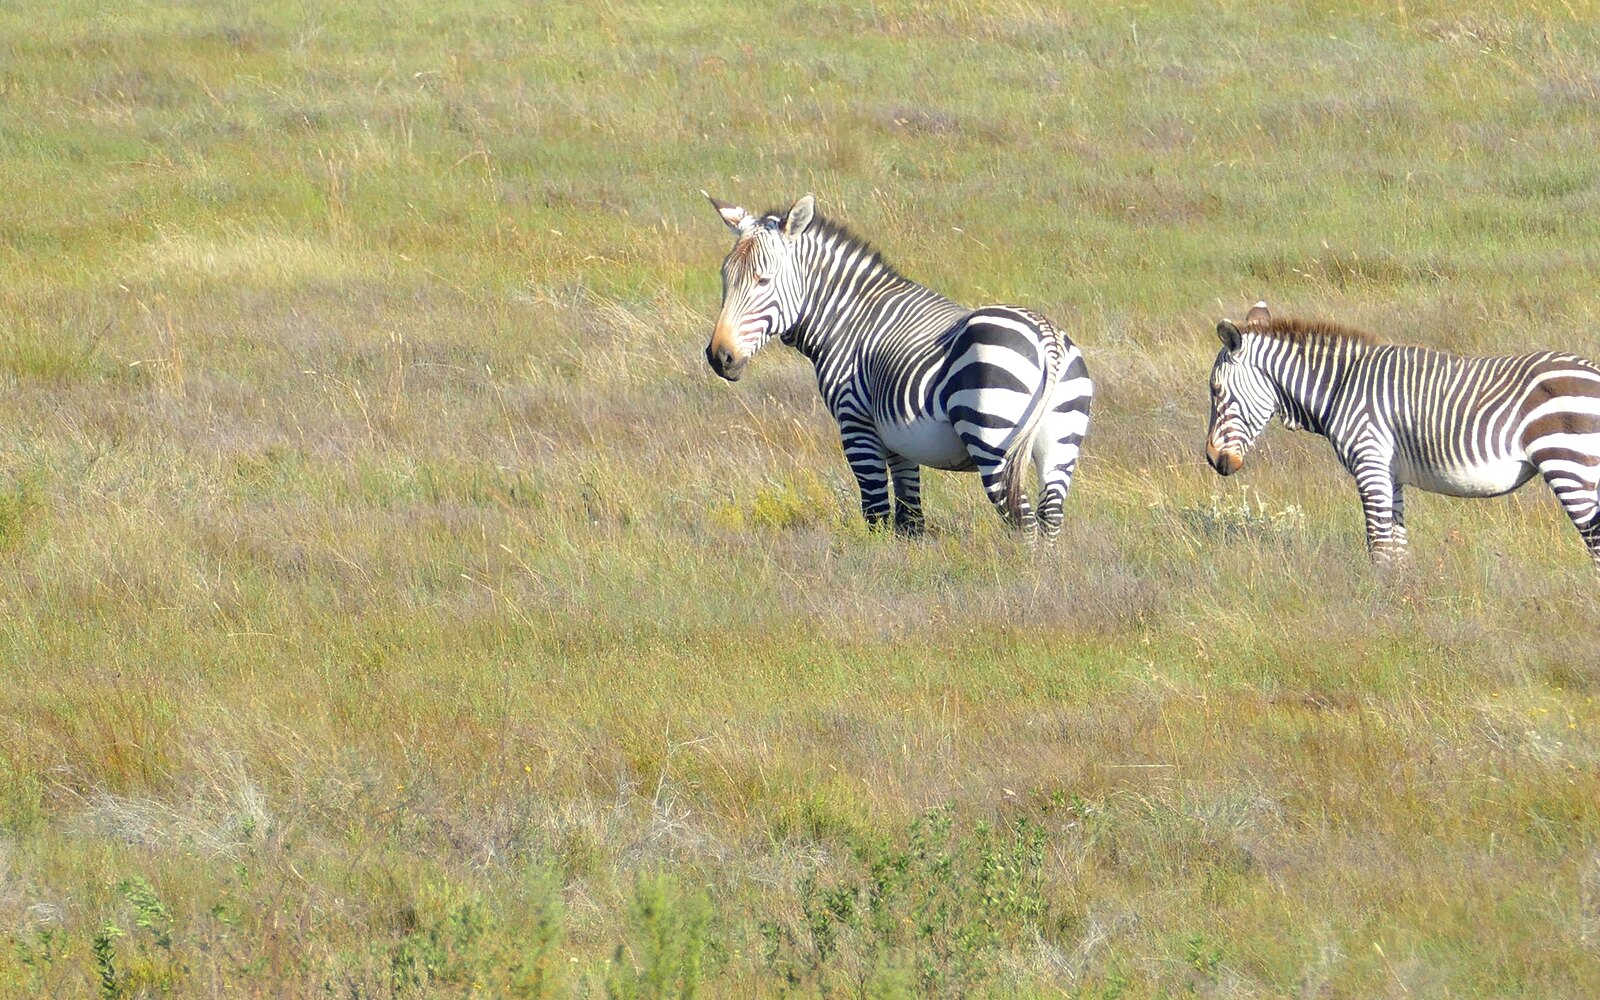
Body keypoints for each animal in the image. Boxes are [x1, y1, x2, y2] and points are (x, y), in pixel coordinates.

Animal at [702, 192, 1092, 537]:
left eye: (762, 281)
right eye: (724, 277)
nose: (719, 357)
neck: (847, 319)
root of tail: (1047, 337)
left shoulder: (857, 426)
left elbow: (876, 513)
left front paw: (874, 564)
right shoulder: (900, 441)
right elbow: (910, 519)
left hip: (994, 439)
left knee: (1022, 521)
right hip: (1060, 443)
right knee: (1049, 516)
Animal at [1205, 301, 1600, 567]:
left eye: (1216, 391)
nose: (1212, 460)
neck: (1340, 387)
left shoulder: (1370, 464)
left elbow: (1378, 547)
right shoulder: (1390, 475)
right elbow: (1397, 550)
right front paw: (1405, 602)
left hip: (1569, 467)